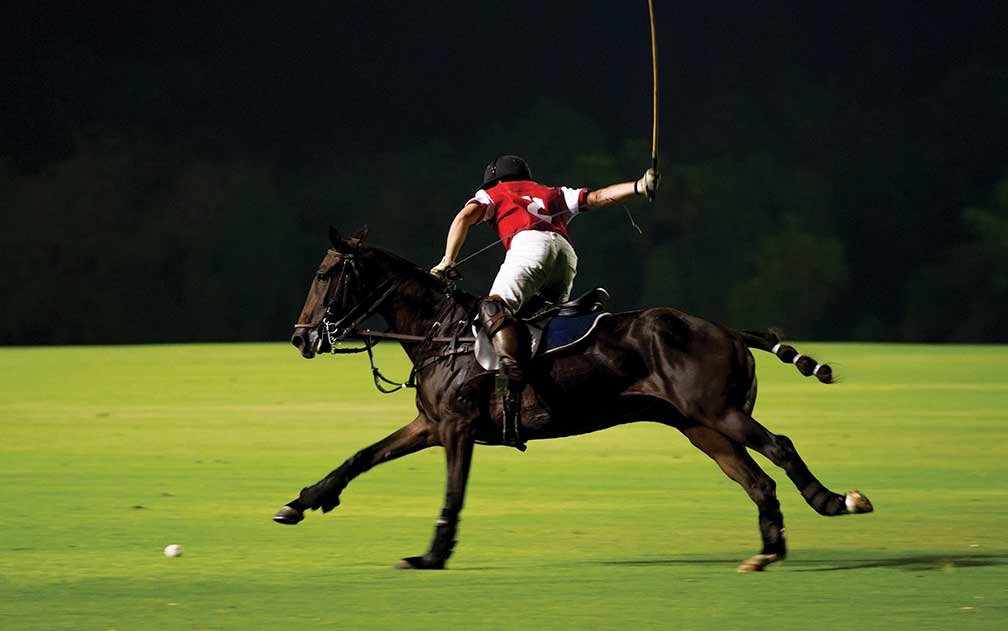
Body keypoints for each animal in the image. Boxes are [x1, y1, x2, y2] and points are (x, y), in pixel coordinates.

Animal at [272, 226, 870, 568]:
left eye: (324, 274)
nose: (302, 338)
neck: (442, 331)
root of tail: (731, 330)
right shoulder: (431, 424)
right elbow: (360, 457)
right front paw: (300, 502)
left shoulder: (457, 428)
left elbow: (453, 492)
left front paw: (432, 555)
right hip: (700, 427)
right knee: (758, 480)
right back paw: (768, 551)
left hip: (717, 412)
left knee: (781, 446)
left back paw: (836, 501)